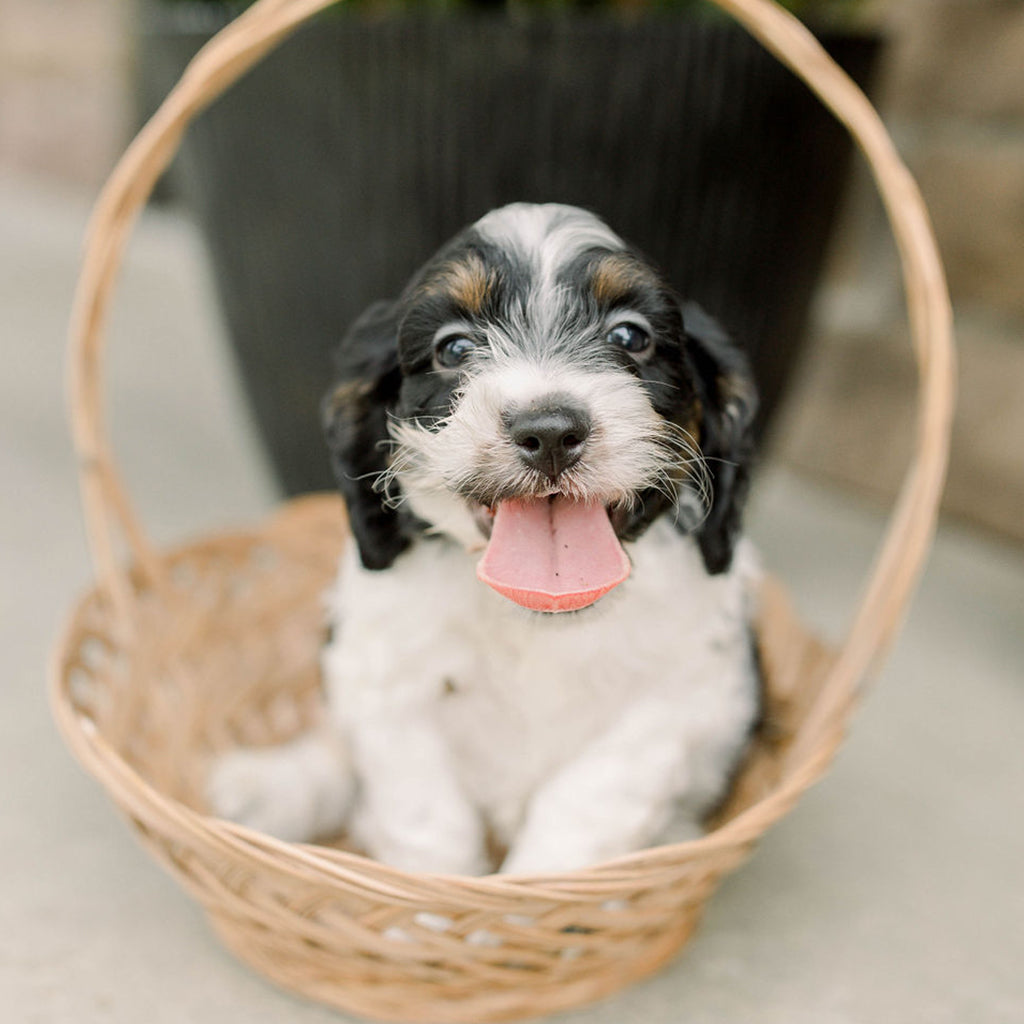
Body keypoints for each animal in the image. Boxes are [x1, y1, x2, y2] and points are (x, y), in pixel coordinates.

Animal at [207, 203, 765, 876]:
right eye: (454, 348)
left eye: (630, 337)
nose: (549, 431)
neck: (535, 624)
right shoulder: (383, 681)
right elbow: (423, 815)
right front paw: (439, 897)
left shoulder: (680, 694)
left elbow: (586, 803)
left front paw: (533, 894)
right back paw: (265, 790)